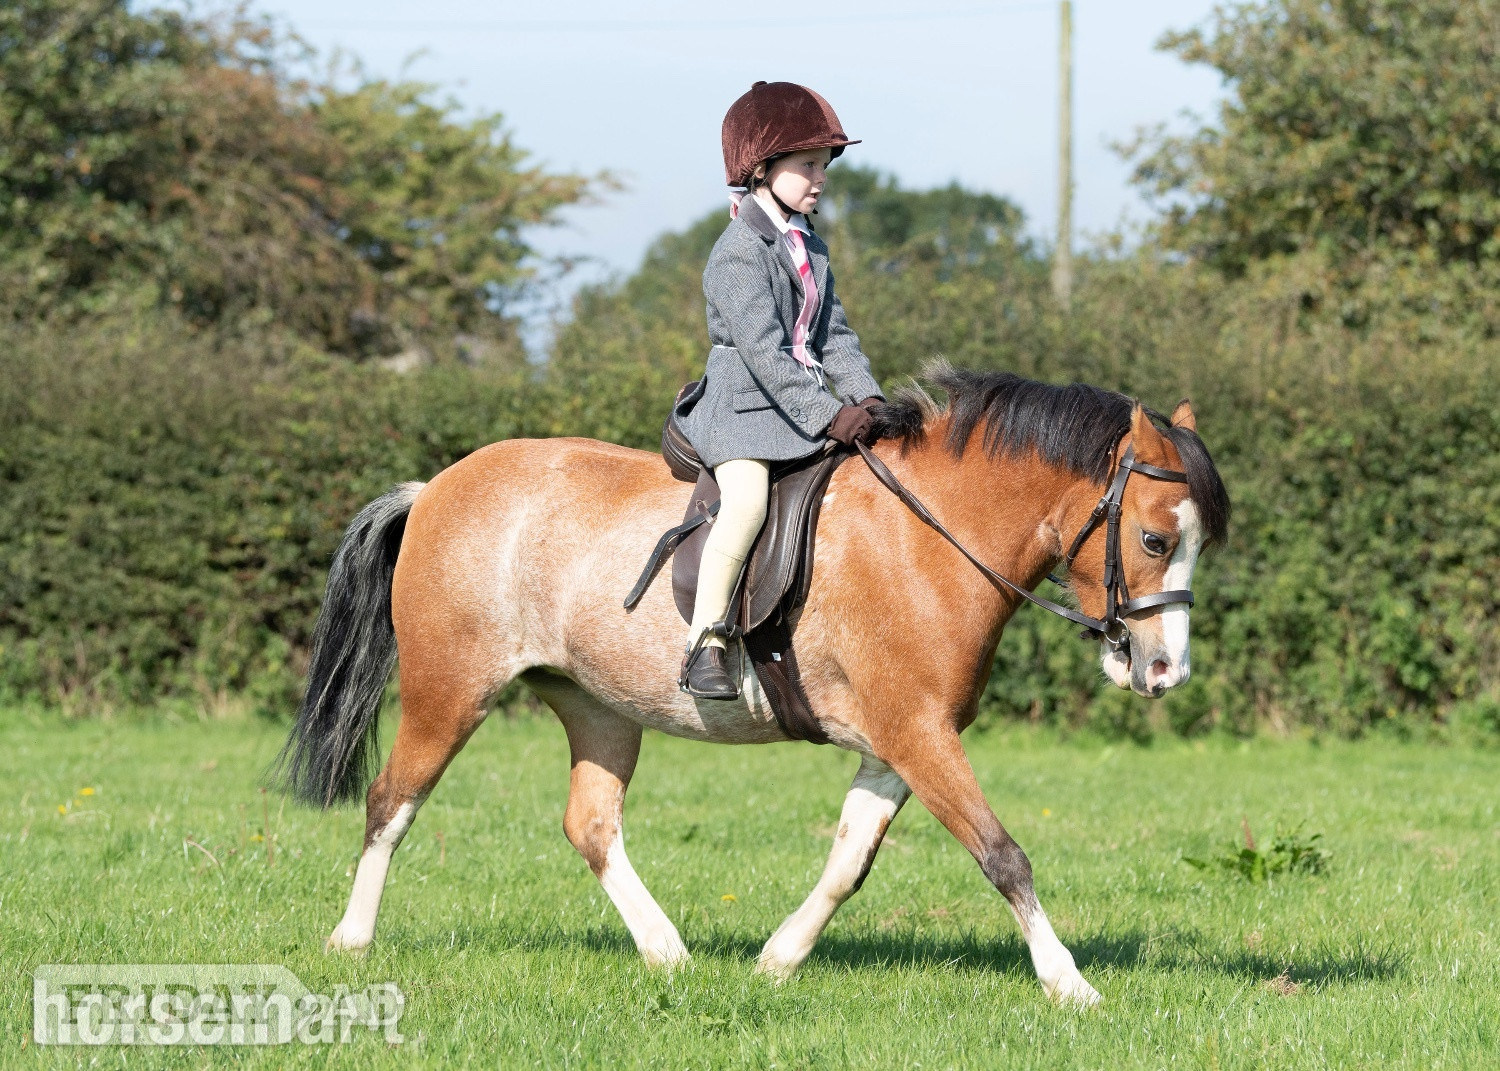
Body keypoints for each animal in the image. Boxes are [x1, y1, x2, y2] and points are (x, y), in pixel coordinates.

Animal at [271, 363, 1230, 1007]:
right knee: (392, 800)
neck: (930, 536)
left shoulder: (896, 743)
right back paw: (351, 940)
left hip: (598, 707)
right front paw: (1071, 985)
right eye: (1154, 539)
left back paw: (667, 952)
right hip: (450, 690)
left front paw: (777, 959)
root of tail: (436, 485)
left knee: (591, 823)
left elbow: (849, 860)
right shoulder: (919, 732)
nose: (1163, 670)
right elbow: (1002, 853)